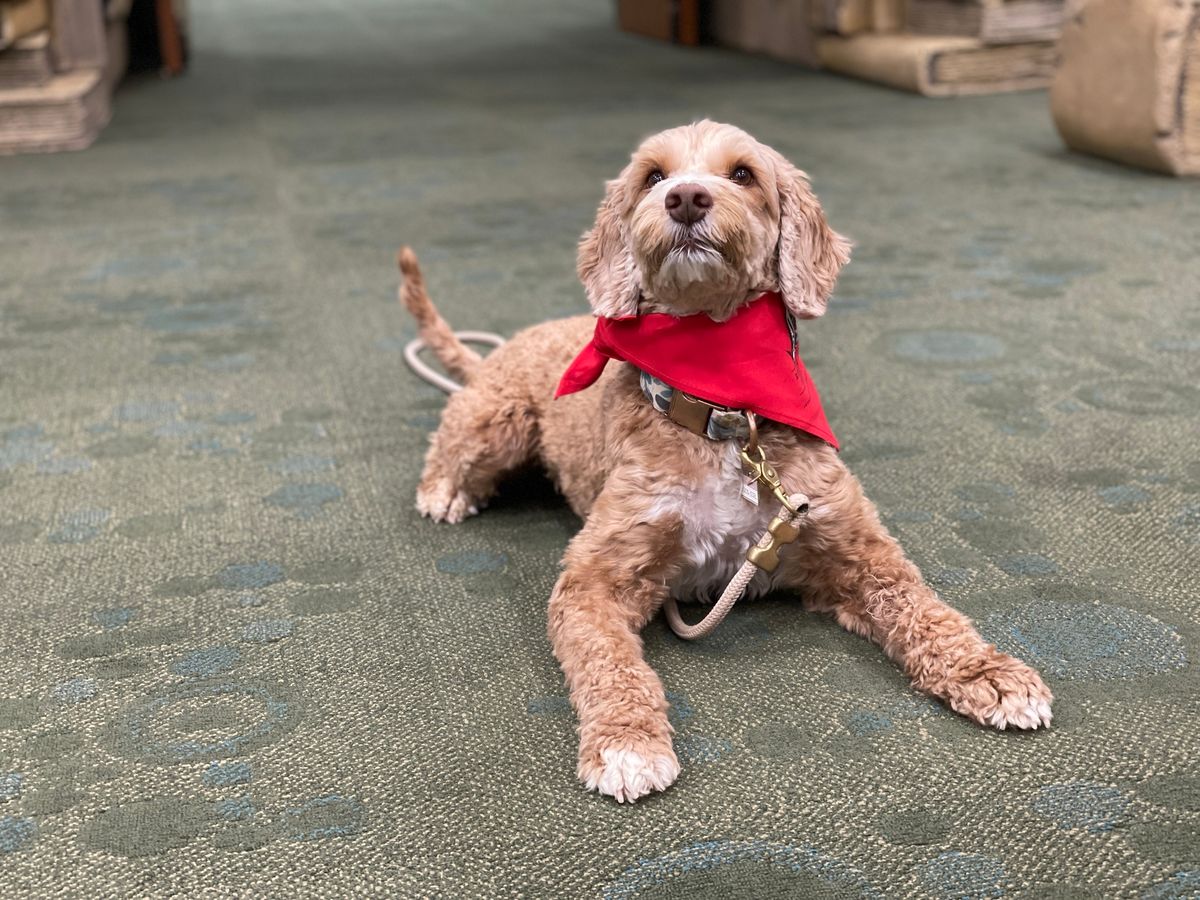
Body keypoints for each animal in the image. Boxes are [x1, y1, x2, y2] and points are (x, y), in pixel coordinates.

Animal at [400, 118, 1051, 801]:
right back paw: (445, 491)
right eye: (652, 176)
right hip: (496, 422)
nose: (685, 198)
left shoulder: (859, 553)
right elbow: (609, 660)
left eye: (742, 173)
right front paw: (627, 741)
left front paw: (989, 673)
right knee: (451, 445)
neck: (724, 409)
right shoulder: (595, 577)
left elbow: (928, 611)